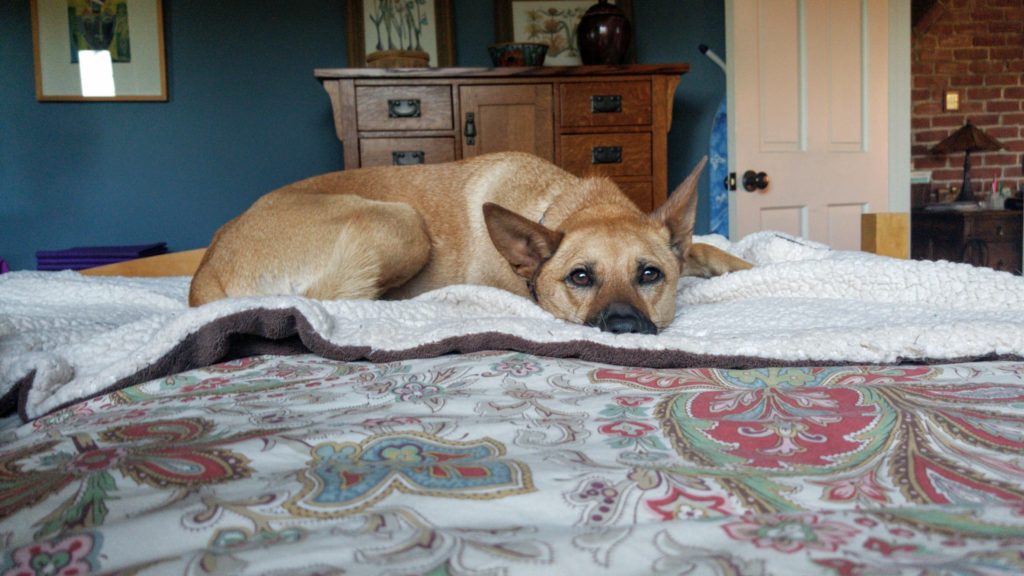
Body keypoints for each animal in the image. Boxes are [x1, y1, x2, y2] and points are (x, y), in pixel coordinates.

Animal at [192, 150, 749, 334]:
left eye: (649, 274)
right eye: (580, 277)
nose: (624, 327)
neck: (569, 200)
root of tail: (207, 266)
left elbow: (702, 249)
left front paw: (744, 266)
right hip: (400, 222)